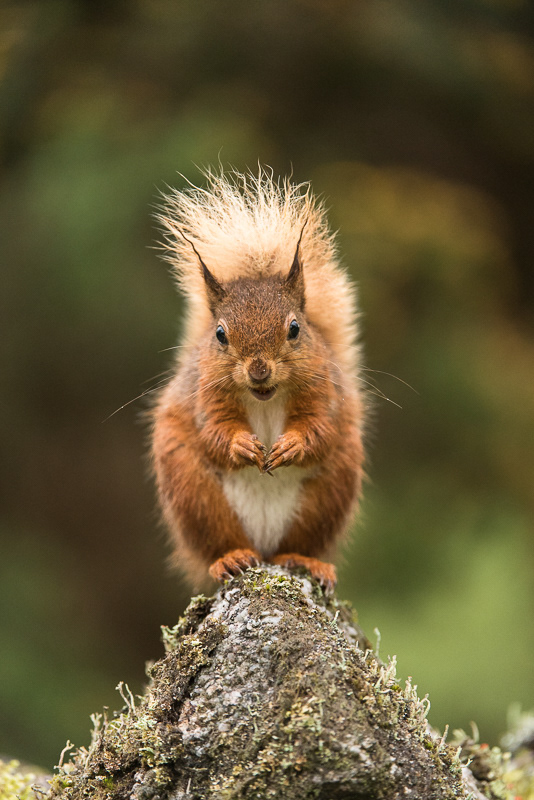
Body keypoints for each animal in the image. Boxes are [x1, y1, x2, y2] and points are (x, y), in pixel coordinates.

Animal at [151, 169, 365, 590]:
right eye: (220, 334)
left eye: (295, 328)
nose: (259, 369)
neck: (265, 397)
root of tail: (263, 547)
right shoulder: (204, 394)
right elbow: (213, 432)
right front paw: (242, 446)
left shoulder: (325, 390)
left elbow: (321, 428)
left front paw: (292, 446)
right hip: (194, 493)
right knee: (219, 542)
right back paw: (229, 559)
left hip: (331, 491)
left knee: (297, 544)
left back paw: (304, 560)